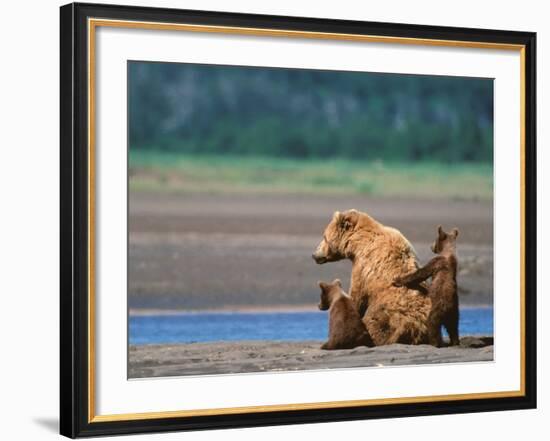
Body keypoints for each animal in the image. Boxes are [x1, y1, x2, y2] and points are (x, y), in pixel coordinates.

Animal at [312, 208, 434, 346]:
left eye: (324, 237)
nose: (314, 255)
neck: (358, 243)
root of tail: (416, 330)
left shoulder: (363, 267)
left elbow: (356, 296)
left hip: (389, 314)